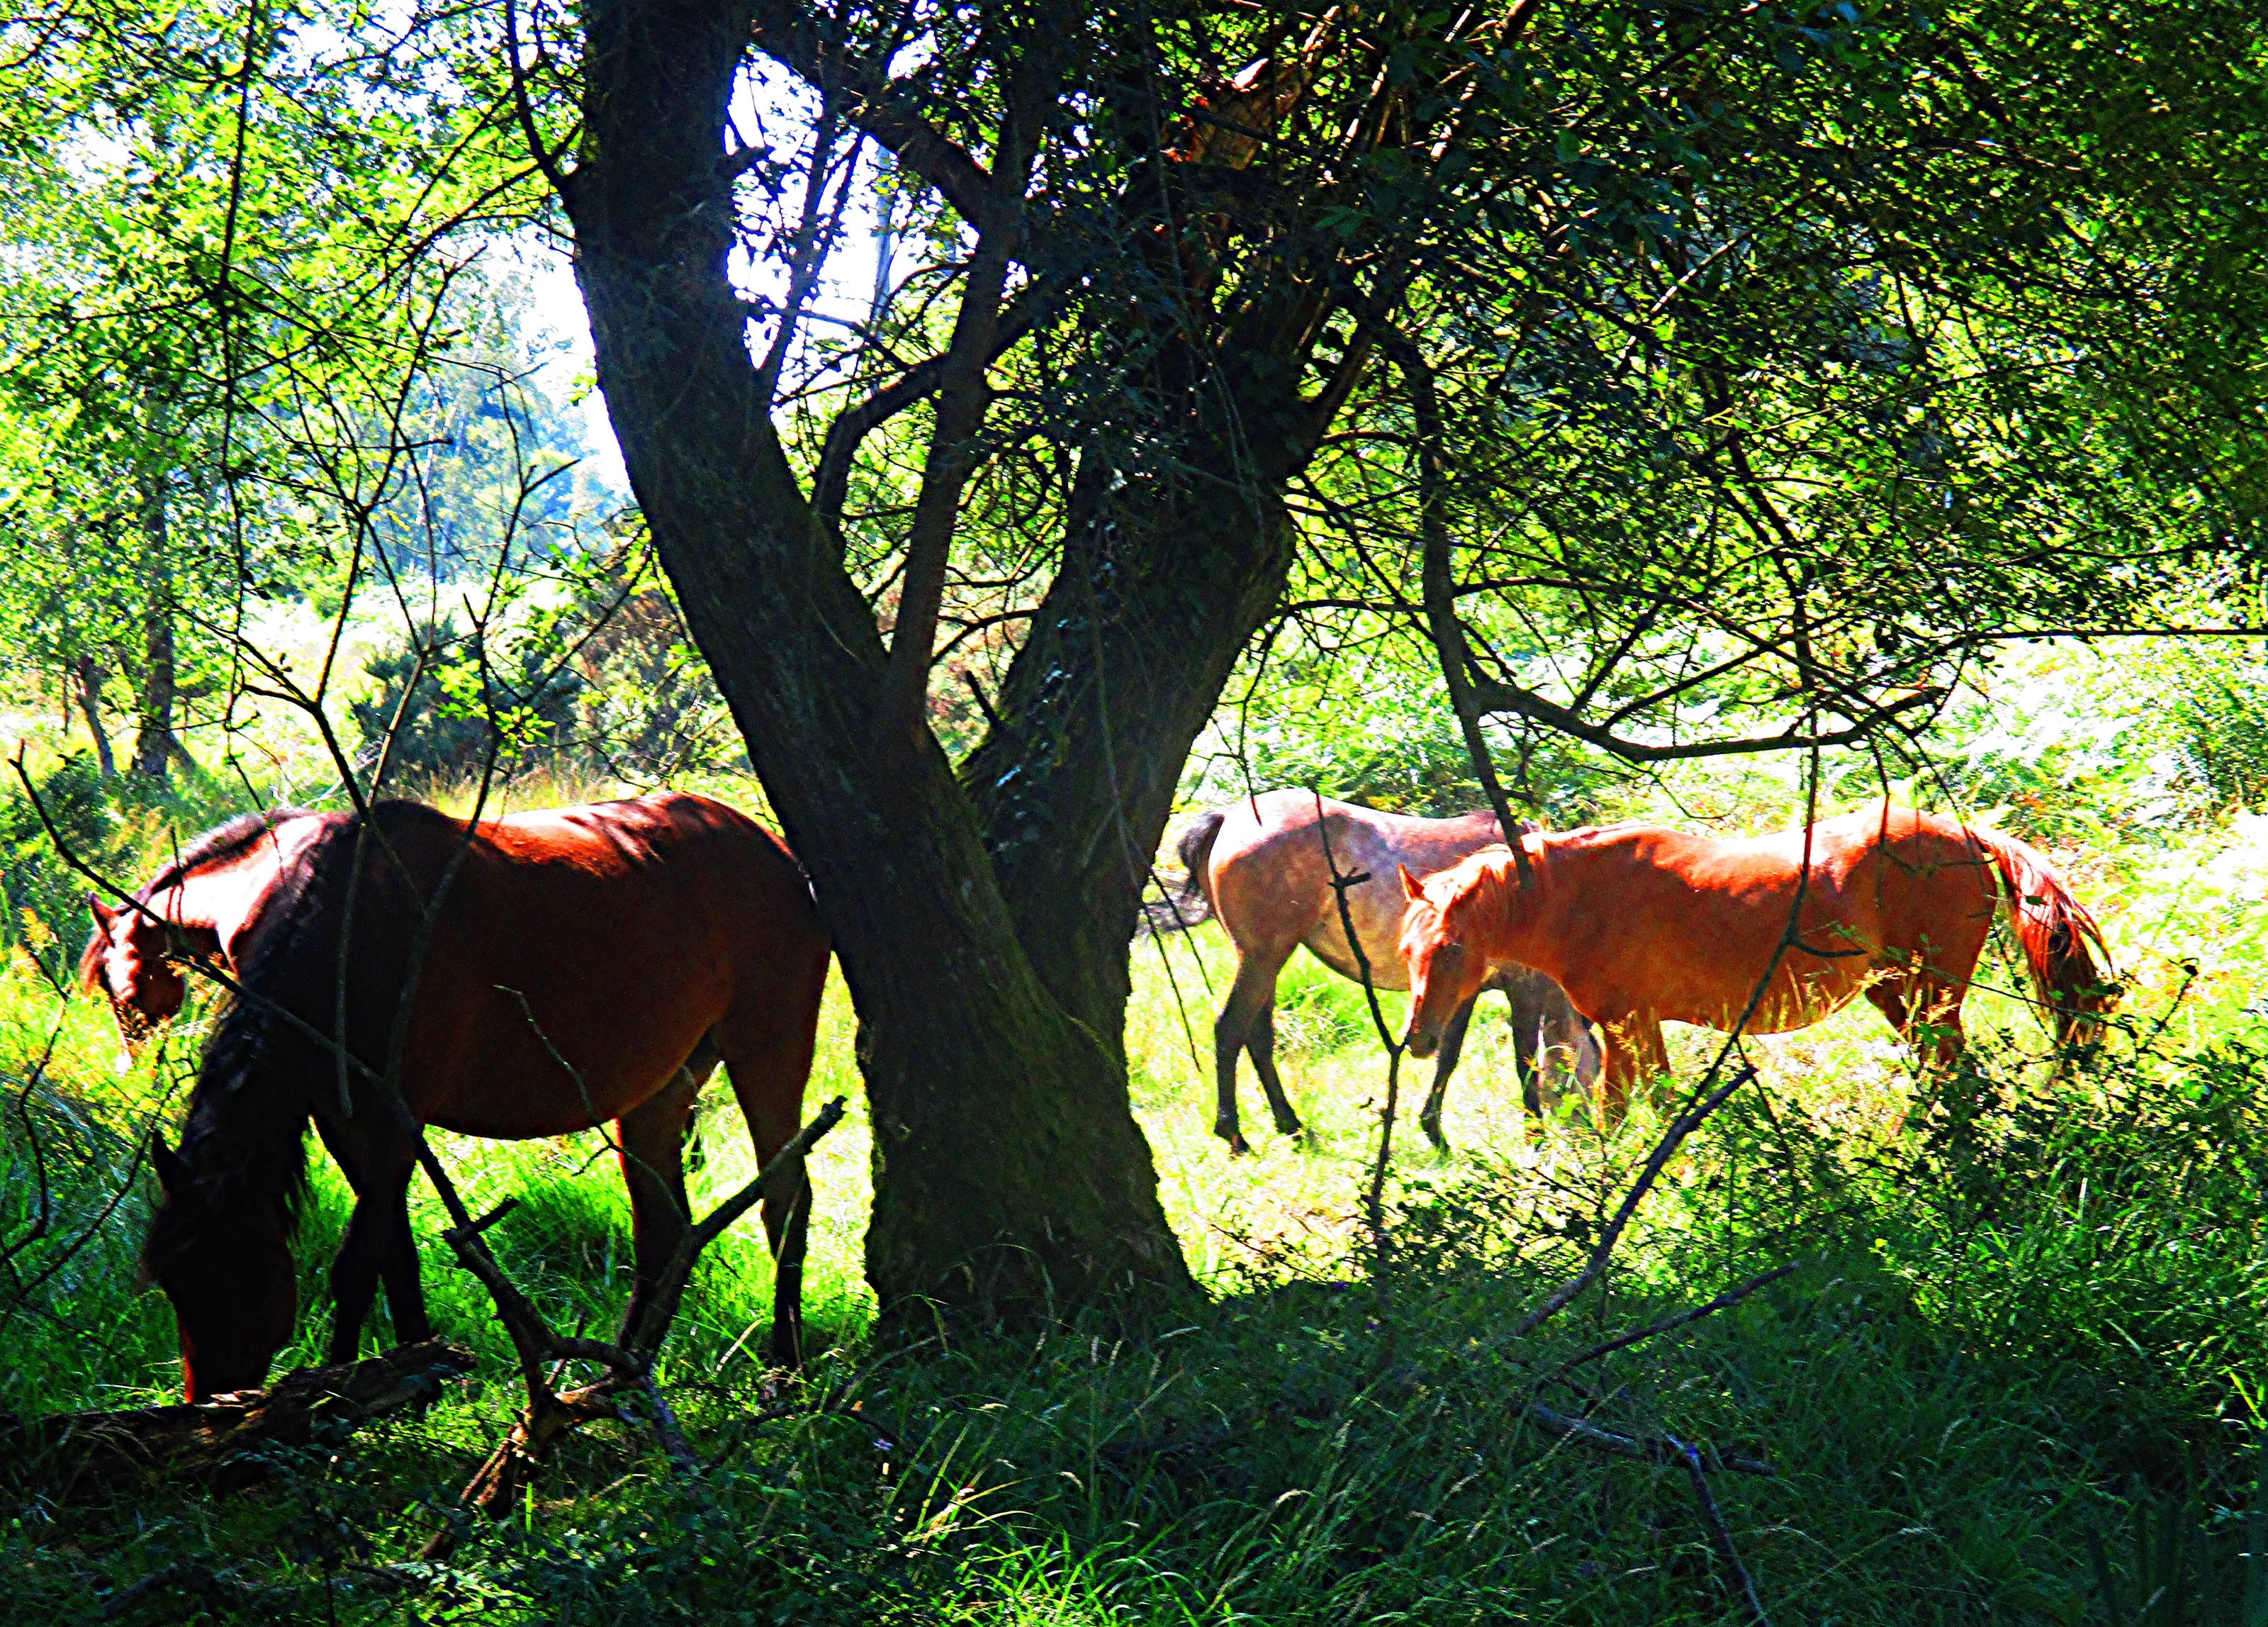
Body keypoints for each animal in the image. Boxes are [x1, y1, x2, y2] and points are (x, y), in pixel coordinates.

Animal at [114, 793, 830, 1403]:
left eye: (251, 1276)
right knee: (665, 1228)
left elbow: (357, 1265)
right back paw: (620, 1373)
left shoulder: (395, 1117)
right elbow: (393, 1252)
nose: (210, 1401)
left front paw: (339, 1389)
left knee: (785, 1199)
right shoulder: (345, 1119)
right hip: (658, 1087)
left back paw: (785, 1366)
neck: (346, 932)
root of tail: (780, 853)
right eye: (175, 1283)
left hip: (767, 1048)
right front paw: (413, 1370)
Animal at [1178, 789, 1599, 1152]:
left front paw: (1435, 1132)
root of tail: (1227, 818)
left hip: (1264, 961)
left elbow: (1449, 1054)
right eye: (1596, 1072)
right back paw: (1235, 1135)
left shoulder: (1461, 991)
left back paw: (1292, 1126)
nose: (1595, 1137)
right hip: (1262, 958)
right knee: (1231, 1030)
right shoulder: (1523, 986)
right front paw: (1535, 1139)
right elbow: (1525, 1060)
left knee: (1259, 1038)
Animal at [1396, 802, 2114, 1122]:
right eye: (1408, 951)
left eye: (1452, 948)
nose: (1419, 1040)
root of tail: (1966, 832)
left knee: (1950, 1066)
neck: (1579, 895)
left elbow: (1630, 1112)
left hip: (1931, 991)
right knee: (1947, 1070)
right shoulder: (1634, 1028)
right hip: (1895, 992)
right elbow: (1637, 1109)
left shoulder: (1630, 1024)